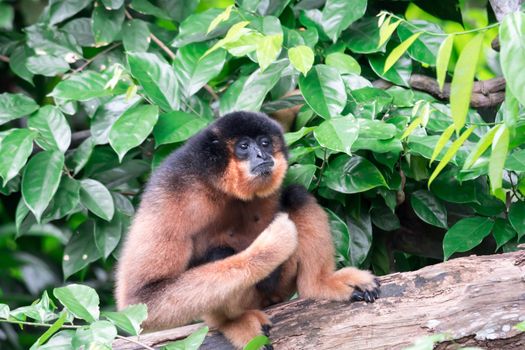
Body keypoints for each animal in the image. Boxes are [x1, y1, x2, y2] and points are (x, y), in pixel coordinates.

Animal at [114, 110, 378, 348]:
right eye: (243, 146)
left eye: (264, 142)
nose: (262, 154)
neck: (221, 187)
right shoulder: (171, 189)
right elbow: (145, 298)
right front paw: (271, 246)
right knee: (219, 255)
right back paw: (233, 322)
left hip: (279, 287)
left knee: (296, 195)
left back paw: (319, 284)